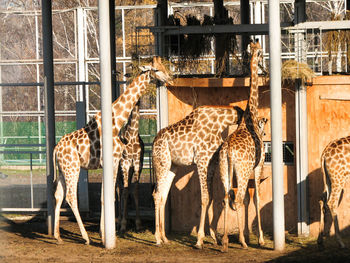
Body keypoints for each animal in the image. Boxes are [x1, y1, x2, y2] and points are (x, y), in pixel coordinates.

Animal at [52, 56, 172, 245]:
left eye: (163, 67)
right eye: (157, 70)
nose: (170, 78)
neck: (117, 122)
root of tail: (56, 149)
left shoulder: (109, 164)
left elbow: (105, 196)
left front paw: (104, 232)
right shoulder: (114, 160)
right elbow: (111, 195)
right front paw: (106, 235)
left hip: (63, 170)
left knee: (58, 195)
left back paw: (57, 236)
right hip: (73, 168)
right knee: (70, 197)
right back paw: (85, 237)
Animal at [152, 105, 245, 250]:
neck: (219, 123)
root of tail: (154, 142)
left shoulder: (212, 163)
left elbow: (210, 198)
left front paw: (214, 237)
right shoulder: (202, 160)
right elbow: (205, 197)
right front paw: (200, 240)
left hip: (172, 166)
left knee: (163, 195)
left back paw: (165, 238)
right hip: (162, 163)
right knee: (156, 194)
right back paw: (157, 239)